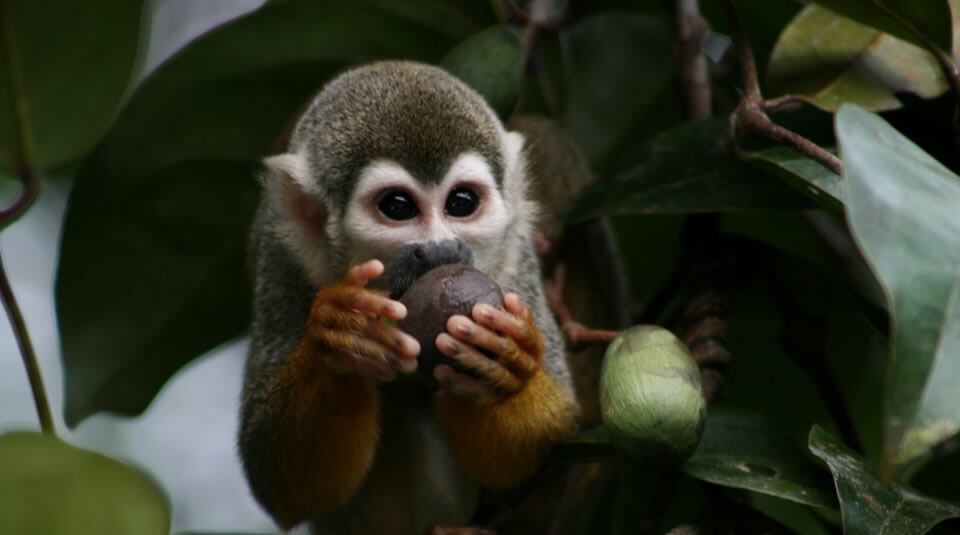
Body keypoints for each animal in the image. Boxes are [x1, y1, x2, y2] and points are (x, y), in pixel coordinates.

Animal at [238, 60, 576, 532]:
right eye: (397, 207)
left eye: (461, 202)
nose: (439, 250)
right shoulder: (281, 257)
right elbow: (281, 484)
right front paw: (340, 343)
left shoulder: (516, 257)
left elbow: (537, 453)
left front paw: (505, 364)